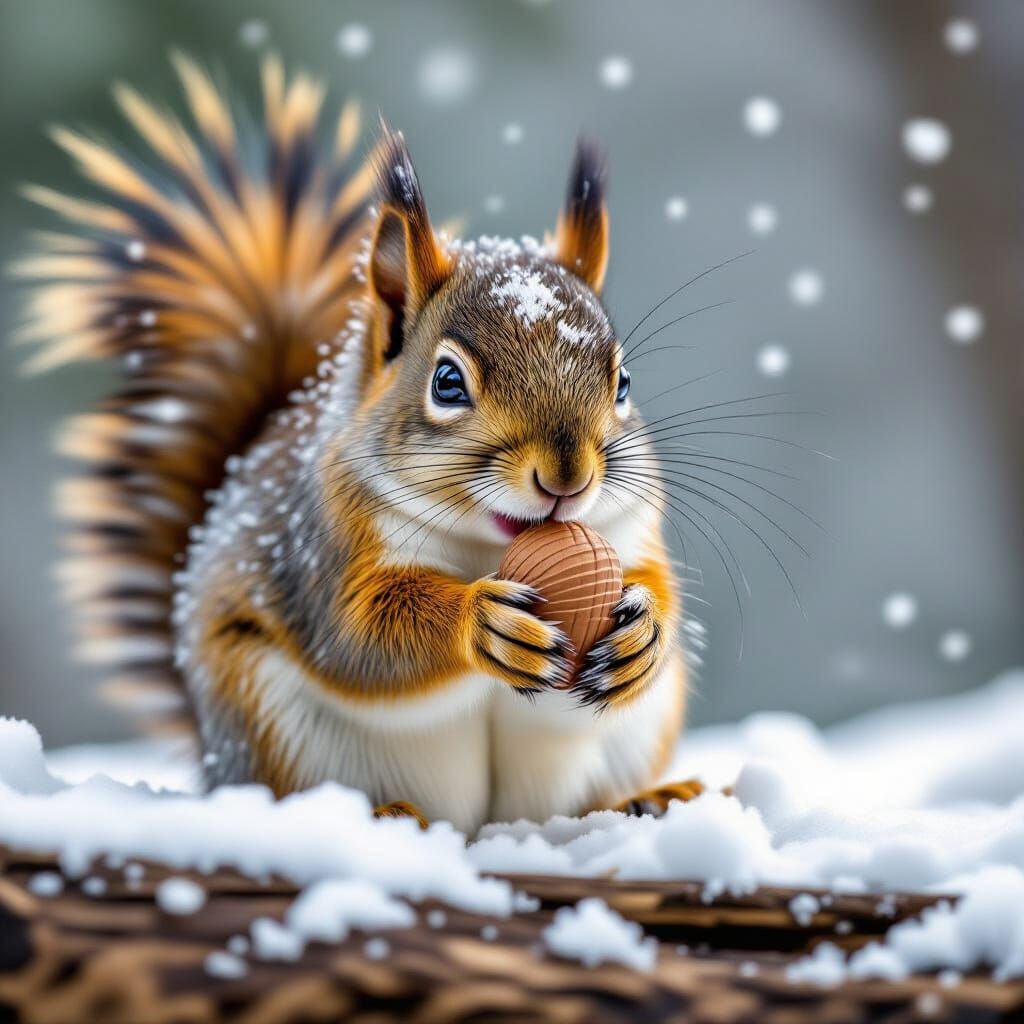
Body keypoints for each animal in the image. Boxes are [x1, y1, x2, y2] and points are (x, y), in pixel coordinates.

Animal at [17, 56, 704, 833]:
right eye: (447, 382)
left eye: (623, 383)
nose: (568, 478)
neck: (486, 543)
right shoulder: (320, 548)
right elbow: (358, 635)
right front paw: (479, 621)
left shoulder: (630, 526)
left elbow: (658, 582)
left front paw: (644, 634)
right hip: (268, 719)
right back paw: (384, 814)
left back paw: (644, 798)